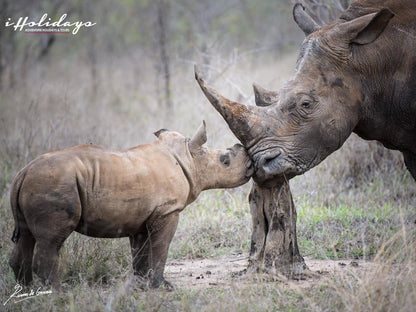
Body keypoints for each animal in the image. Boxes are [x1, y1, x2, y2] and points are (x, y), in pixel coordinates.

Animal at [8, 121, 252, 290]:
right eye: (225, 161)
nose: (249, 161)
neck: (189, 159)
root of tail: (23, 173)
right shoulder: (167, 211)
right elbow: (160, 248)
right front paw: (162, 286)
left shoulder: (141, 216)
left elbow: (140, 252)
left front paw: (140, 284)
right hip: (53, 183)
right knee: (51, 240)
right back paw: (58, 292)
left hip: (37, 183)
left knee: (27, 236)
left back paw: (27, 291)